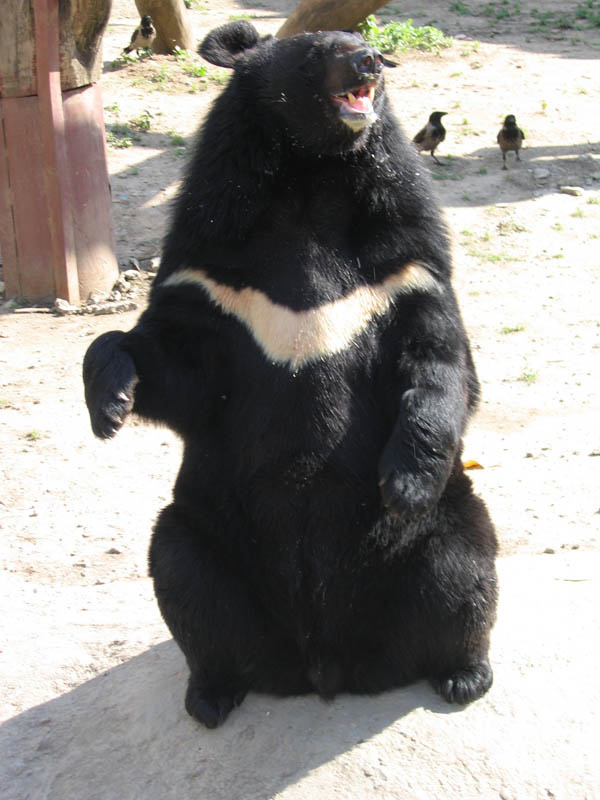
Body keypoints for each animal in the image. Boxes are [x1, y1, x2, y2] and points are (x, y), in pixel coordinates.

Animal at [83, 21, 498, 729]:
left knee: (465, 567)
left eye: (365, 44)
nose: (369, 63)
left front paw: (403, 484)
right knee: (185, 577)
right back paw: (212, 692)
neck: (311, 180)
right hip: (211, 533)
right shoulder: (214, 272)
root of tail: (326, 666)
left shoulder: (406, 266)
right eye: (316, 54)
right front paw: (109, 405)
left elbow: (440, 363)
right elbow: (175, 369)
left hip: (447, 524)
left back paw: (463, 675)